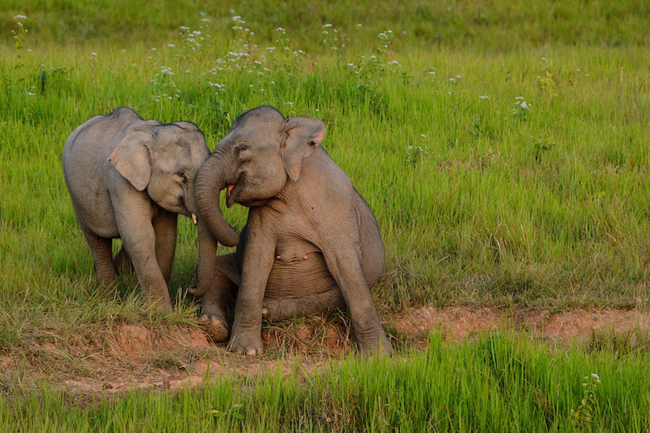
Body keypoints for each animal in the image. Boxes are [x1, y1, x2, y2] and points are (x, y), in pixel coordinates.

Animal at [60, 107, 237, 310]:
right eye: (181, 174)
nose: (190, 287)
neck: (153, 134)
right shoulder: (120, 182)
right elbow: (141, 237)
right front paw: (162, 312)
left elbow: (165, 238)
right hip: (77, 197)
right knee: (97, 241)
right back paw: (109, 295)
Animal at [192, 104, 392, 354]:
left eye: (242, 148)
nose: (236, 233)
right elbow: (256, 261)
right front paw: (245, 351)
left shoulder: (336, 206)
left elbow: (346, 267)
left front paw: (379, 356)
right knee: (217, 269)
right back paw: (214, 325)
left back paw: (267, 310)